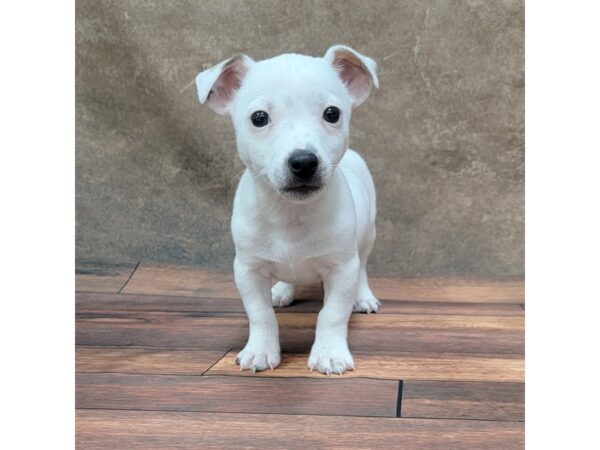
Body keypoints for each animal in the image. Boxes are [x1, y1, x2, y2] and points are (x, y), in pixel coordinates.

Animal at [199, 45, 382, 376]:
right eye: (259, 118)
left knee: (362, 267)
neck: (290, 213)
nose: (304, 161)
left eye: (332, 114)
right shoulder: (248, 269)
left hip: (367, 237)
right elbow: (260, 314)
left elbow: (332, 314)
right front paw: (260, 350)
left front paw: (329, 353)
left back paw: (363, 297)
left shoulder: (342, 269)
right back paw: (283, 290)